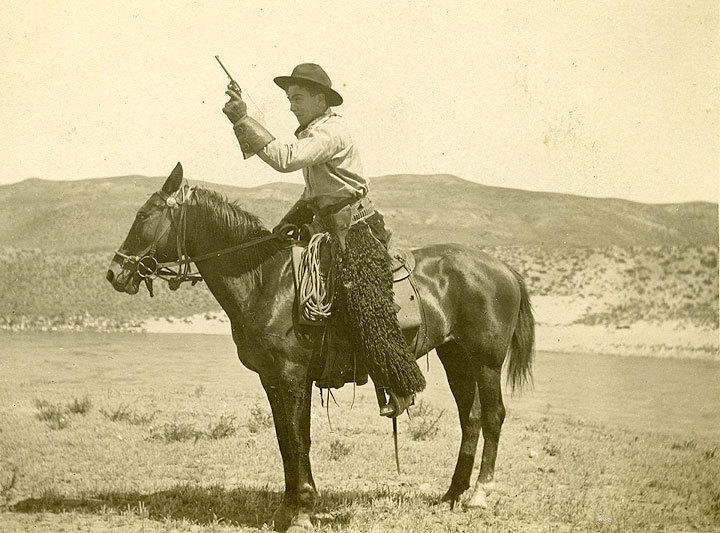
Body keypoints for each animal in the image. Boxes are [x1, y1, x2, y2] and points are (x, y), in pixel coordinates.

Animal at [107, 163, 536, 532]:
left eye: (144, 215)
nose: (115, 273)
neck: (264, 279)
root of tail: (505, 269)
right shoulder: (273, 379)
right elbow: (289, 440)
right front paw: (291, 508)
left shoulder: (292, 375)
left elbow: (298, 440)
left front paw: (301, 511)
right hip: (455, 358)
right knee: (471, 418)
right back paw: (451, 494)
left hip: (486, 361)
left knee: (493, 416)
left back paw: (479, 494)